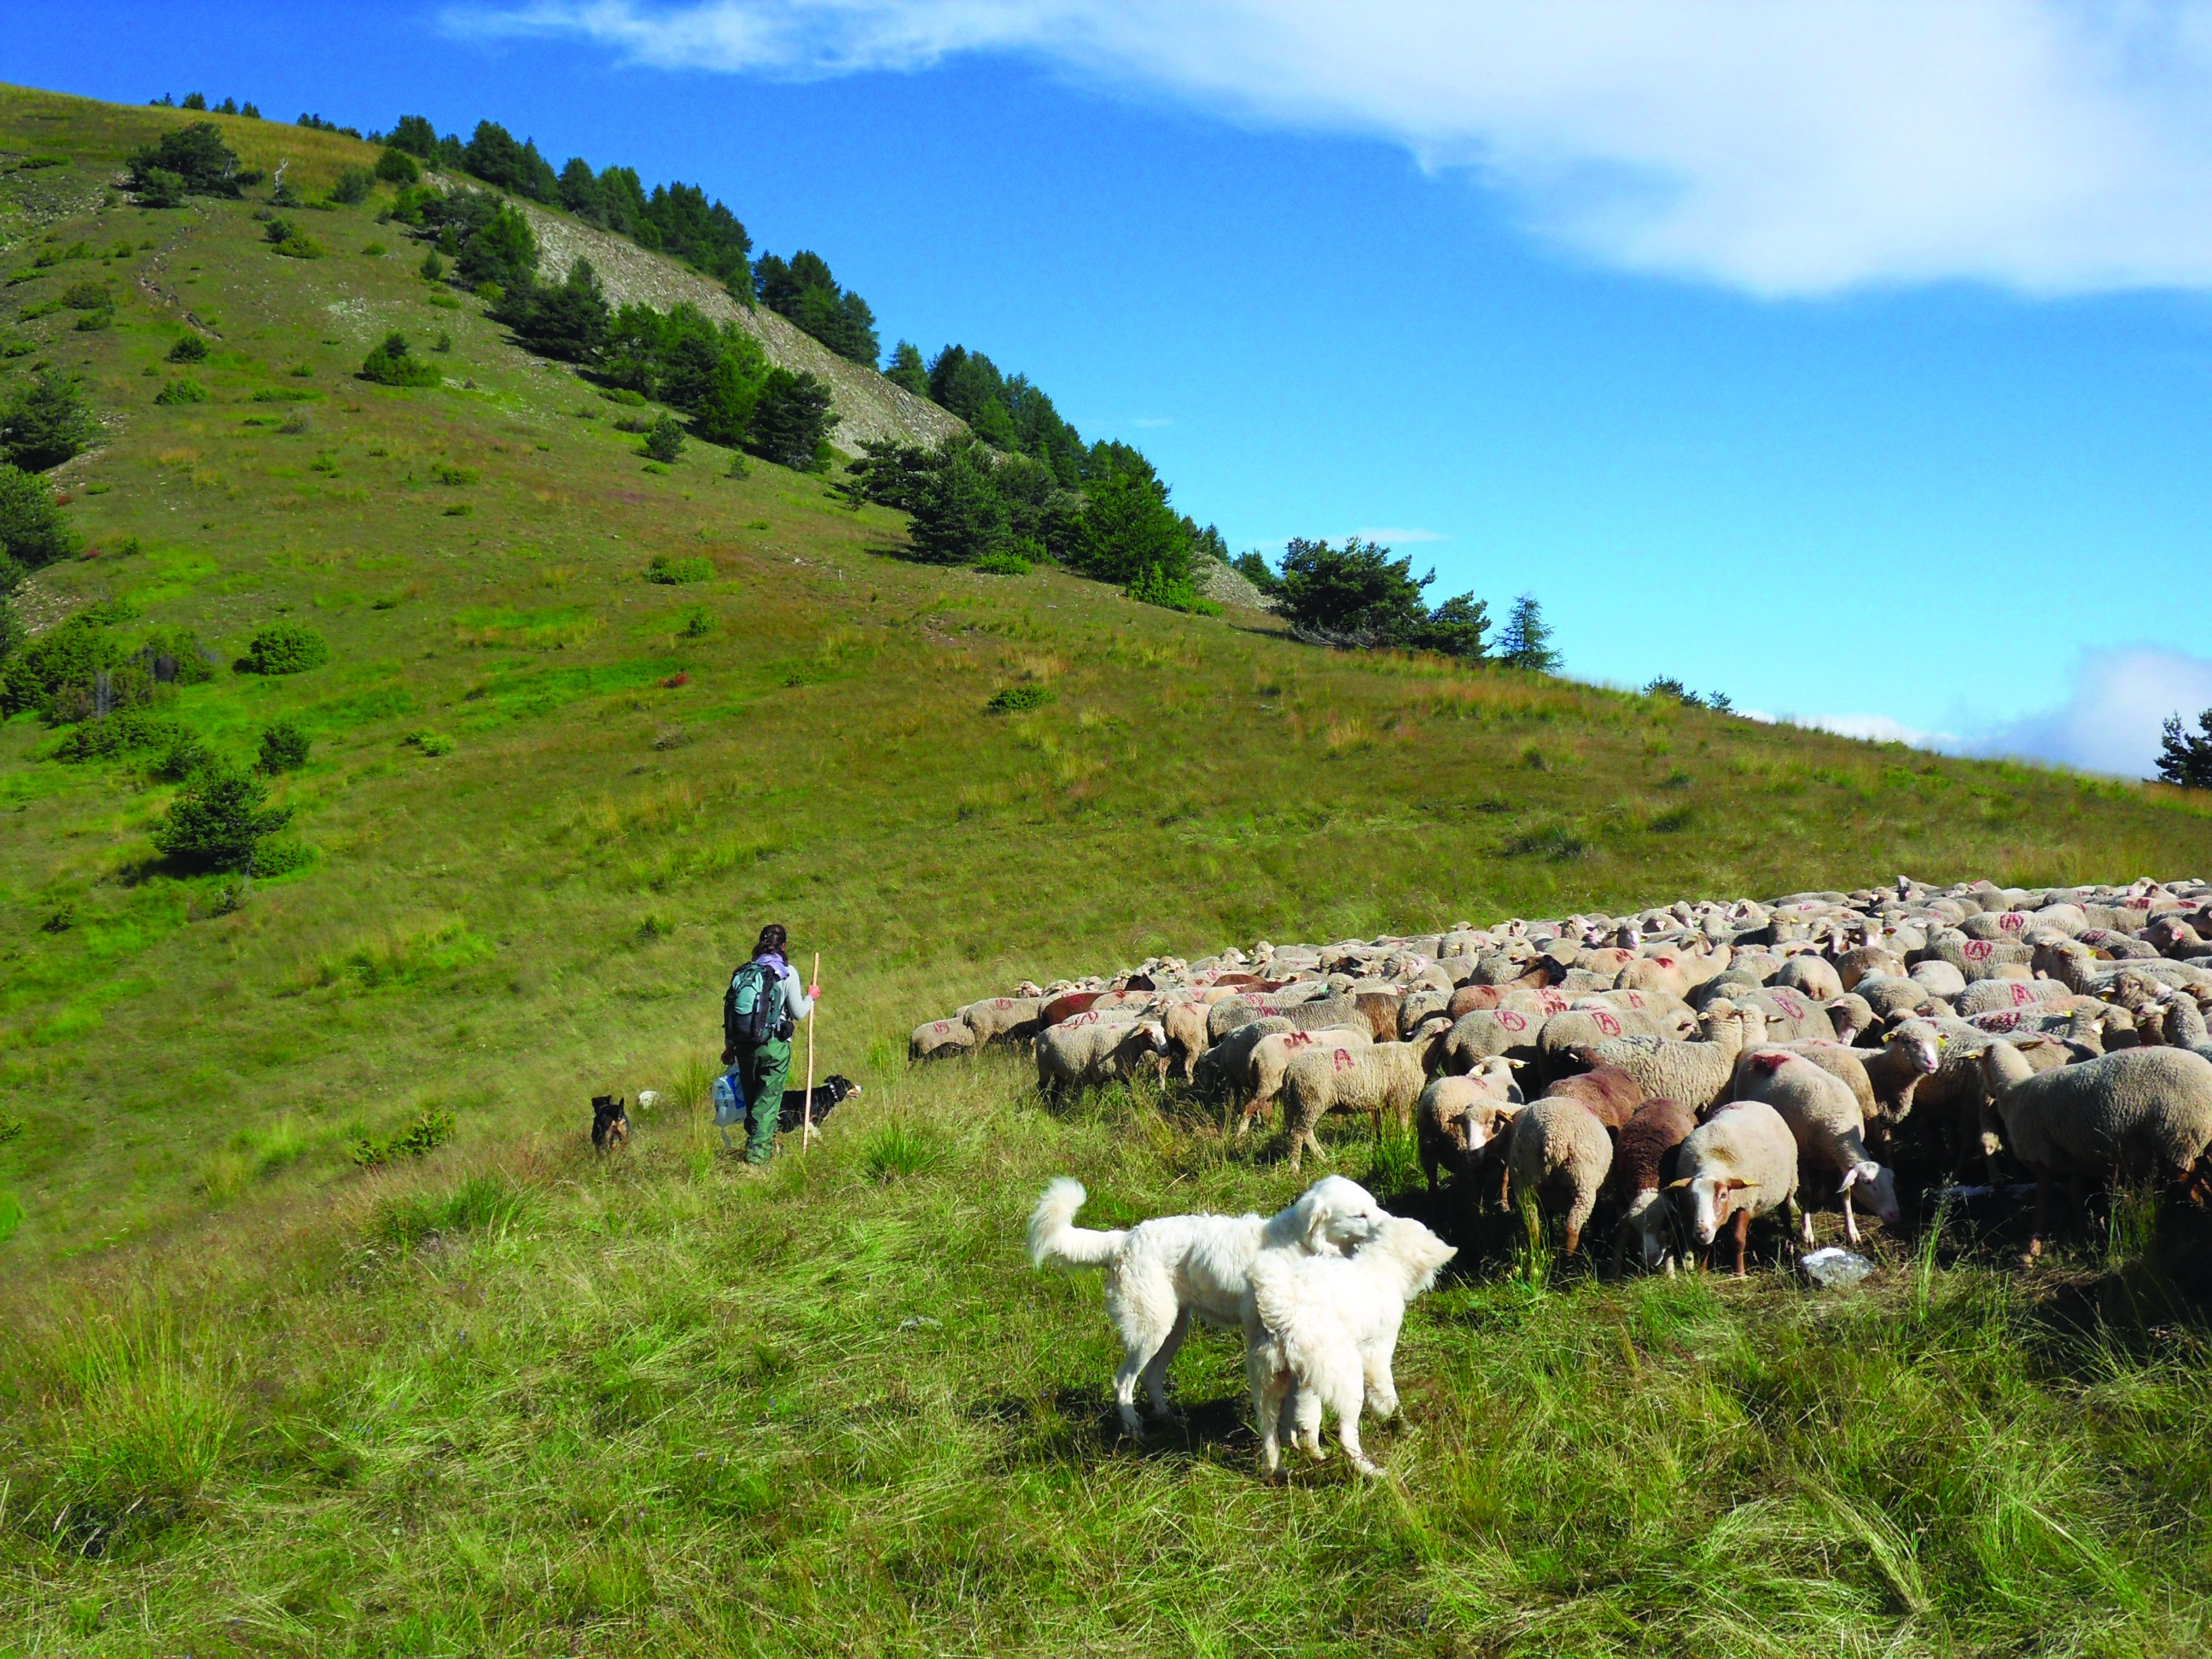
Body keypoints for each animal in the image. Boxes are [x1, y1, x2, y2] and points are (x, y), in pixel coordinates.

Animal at [1022, 1176, 1380, 1433]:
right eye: (1359, 1215)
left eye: (1375, 1206)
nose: (1389, 1221)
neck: (1298, 1243)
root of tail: (1124, 1238)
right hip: (1150, 1332)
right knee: (1123, 1380)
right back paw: (1133, 1427)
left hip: (1174, 1330)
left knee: (1151, 1378)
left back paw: (1168, 1418)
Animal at [1238, 1212, 1459, 1477]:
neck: (1380, 1265)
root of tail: (1282, 1310)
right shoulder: (1376, 1354)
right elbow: (1388, 1397)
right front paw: (1404, 1427)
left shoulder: (1307, 1379)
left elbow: (1307, 1414)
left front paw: (1311, 1447)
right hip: (1348, 1378)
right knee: (1347, 1436)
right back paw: (1372, 1471)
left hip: (1267, 1383)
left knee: (1269, 1433)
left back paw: (1275, 1470)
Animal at [1495, 1106, 1619, 1256]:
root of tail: (1553, 1136)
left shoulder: (1547, 1196)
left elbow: (1548, 1218)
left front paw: (1550, 1239)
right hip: (1583, 1183)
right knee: (1572, 1227)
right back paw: (1569, 1256)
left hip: (1526, 1183)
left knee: (1532, 1225)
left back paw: (1538, 1248)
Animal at [1610, 1097, 1690, 1283]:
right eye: (1639, 1229)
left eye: (1663, 1223)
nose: (1652, 1259)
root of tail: (1665, 1098)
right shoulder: (1620, 1199)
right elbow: (1622, 1234)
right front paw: (1614, 1272)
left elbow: (1671, 1237)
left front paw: (1670, 1274)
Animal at [1663, 1110, 1805, 1283]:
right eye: (1691, 1196)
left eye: (1723, 1195)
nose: (1701, 1232)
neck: (1714, 1161)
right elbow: (1706, 1245)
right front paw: (1702, 1272)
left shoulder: (1745, 1204)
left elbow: (1738, 1240)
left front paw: (1740, 1275)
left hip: (1789, 1184)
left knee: (1785, 1215)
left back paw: (1792, 1244)